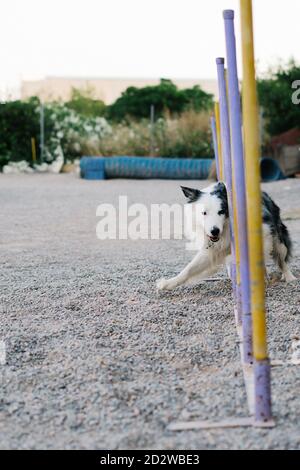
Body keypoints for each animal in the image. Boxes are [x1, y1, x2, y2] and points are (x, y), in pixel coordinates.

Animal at [157, 183, 296, 290]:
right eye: (204, 213)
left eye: (221, 211)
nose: (214, 231)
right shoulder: (211, 250)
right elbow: (189, 269)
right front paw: (168, 283)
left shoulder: (264, 232)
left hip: (279, 241)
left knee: (282, 261)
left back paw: (289, 277)